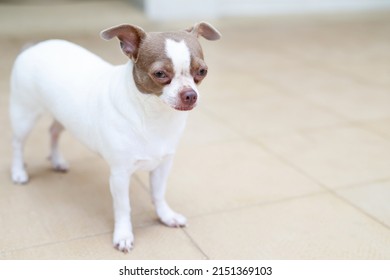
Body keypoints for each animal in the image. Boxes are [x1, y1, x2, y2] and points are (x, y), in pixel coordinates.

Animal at [9, 23, 221, 253]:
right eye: (160, 74)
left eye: (202, 71)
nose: (190, 94)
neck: (154, 116)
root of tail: (34, 46)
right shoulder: (120, 175)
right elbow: (123, 207)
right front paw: (124, 235)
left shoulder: (162, 166)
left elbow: (158, 194)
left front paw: (166, 216)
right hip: (24, 116)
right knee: (18, 144)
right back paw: (18, 172)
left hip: (63, 115)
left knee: (53, 131)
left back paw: (57, 161)